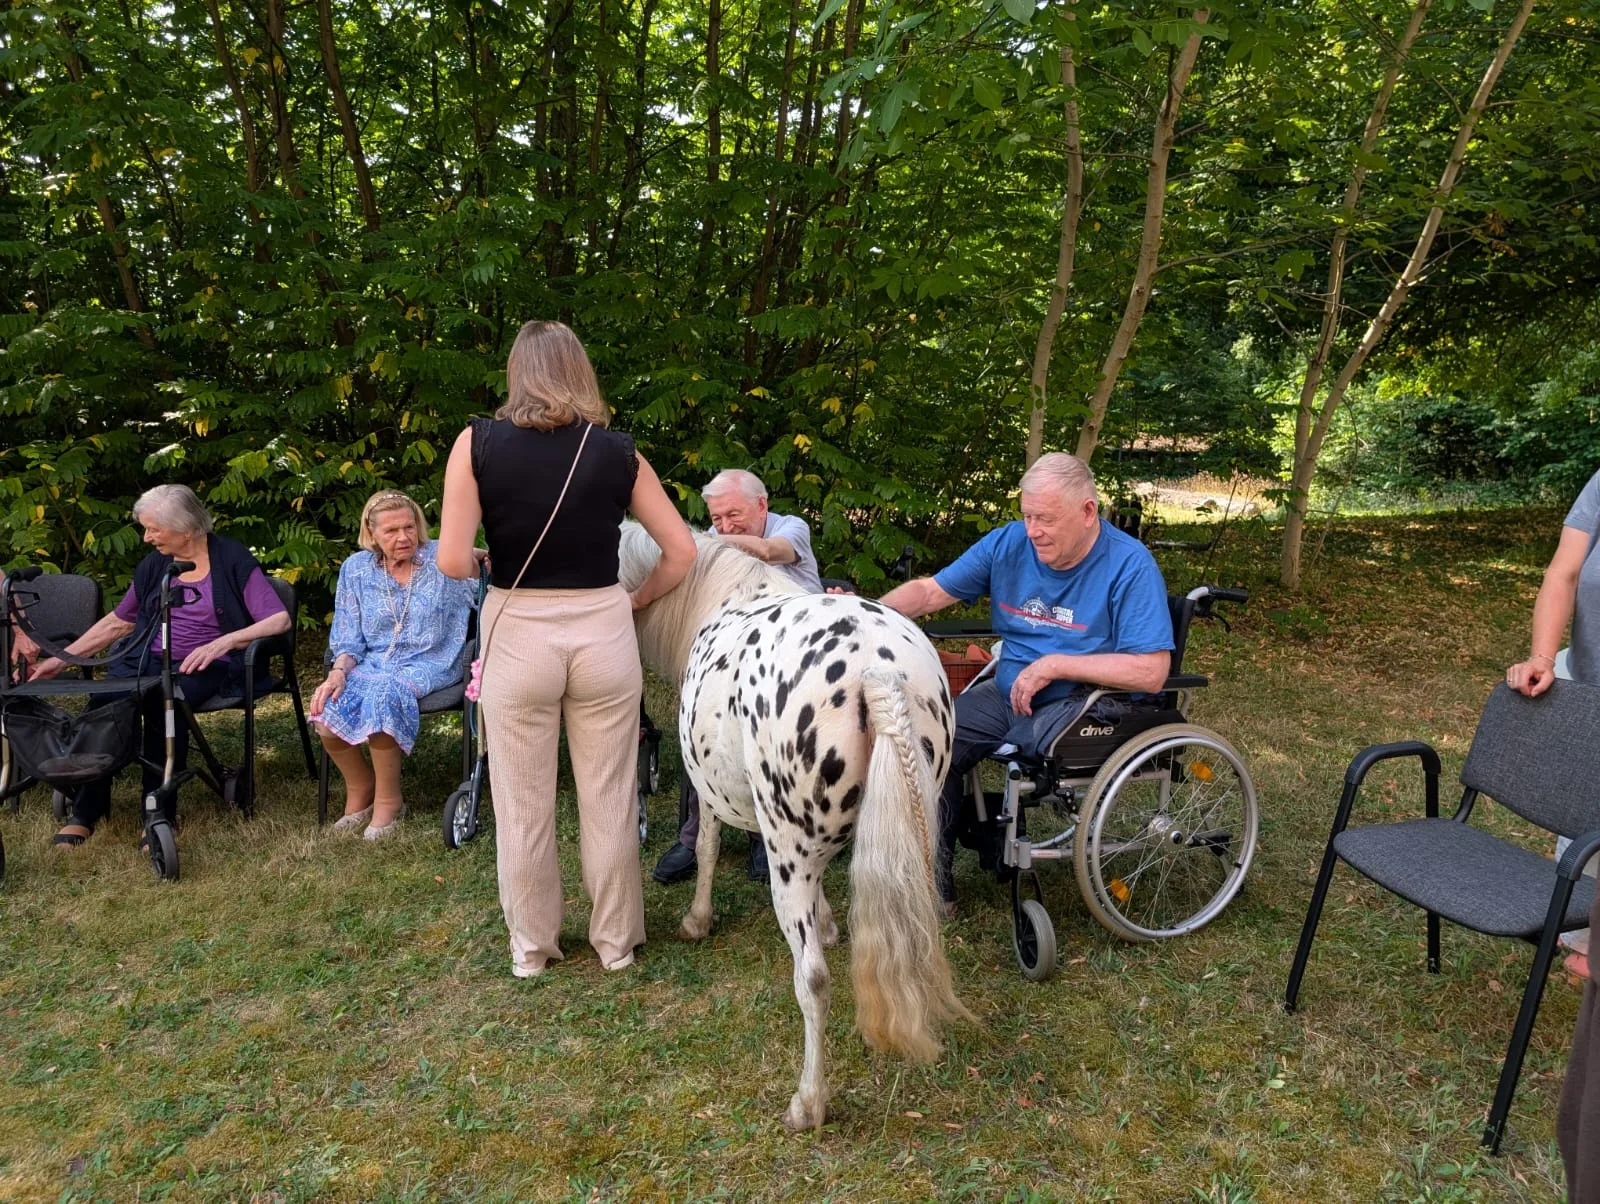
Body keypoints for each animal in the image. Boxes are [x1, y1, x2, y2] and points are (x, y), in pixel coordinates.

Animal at [618, 523, 971, 1130]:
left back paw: (809, 1102)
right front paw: (828, 922)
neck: (719, 594)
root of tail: (875, 669)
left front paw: (697, 919)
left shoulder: (712, 791)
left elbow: (706, 847)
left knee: (813, 980)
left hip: (789, 849)